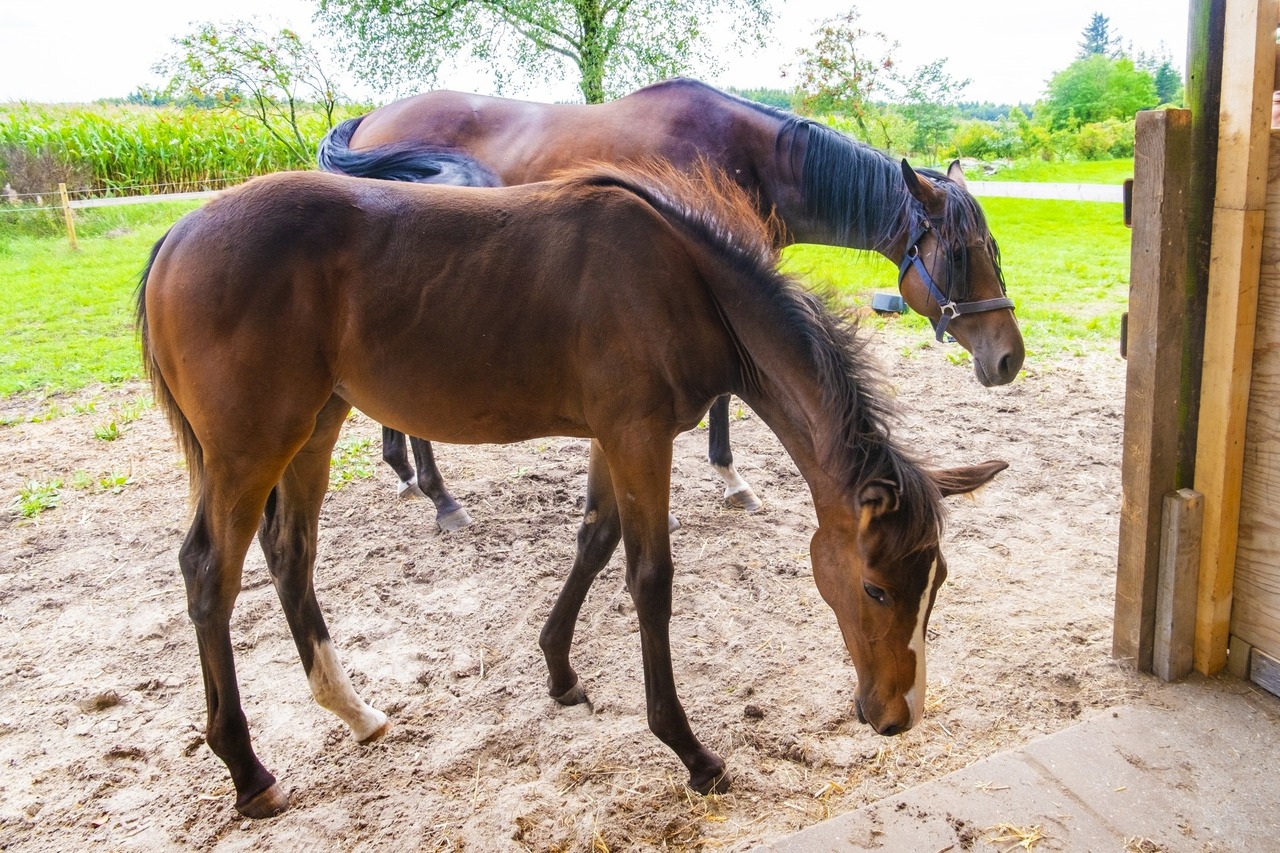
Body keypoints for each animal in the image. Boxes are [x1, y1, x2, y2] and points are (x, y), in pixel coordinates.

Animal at [137, 164, 1006, 818]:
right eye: (877, 587)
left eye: (936, 583)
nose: (898, 715)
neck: (684, 279)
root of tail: (178, 234)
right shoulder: (638, 435)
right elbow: (650, 579)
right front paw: (691, 751)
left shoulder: (612, 437)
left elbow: (594, 538)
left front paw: (559, 671)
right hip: (250, 448)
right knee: (209, 573)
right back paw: (248, 773)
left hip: (315, 426)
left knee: (291, 555)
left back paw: (356, 712)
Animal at [317, 78, 1023, 530]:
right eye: (960, 255)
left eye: (992, 247)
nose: (1009, 358)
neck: (750, 157)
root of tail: (369, 120)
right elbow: (726, 397)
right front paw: (732, 482)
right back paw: (442, 499)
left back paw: (409, 477)